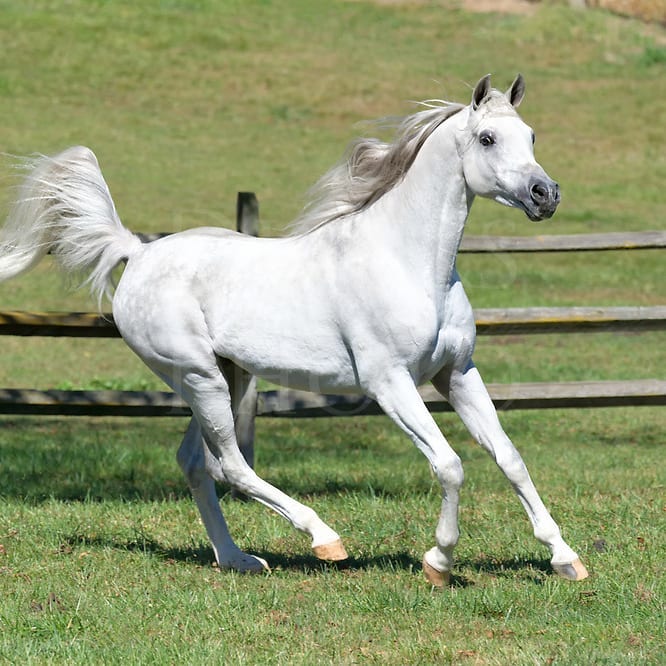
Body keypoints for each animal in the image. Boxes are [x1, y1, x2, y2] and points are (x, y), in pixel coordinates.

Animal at [0, 74, 588, 580]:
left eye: (531, 135)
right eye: (488, 138)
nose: (546, 194)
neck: (409, 264)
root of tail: (138, 252)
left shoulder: (457, 373)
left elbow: (509, 458)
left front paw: (565, 558)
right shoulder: (389, 382)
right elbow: (449, 464)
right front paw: (438, 562)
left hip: (227, 376)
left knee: (195, 462)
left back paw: (236, 559)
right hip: (197, 377)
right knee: (229, 466)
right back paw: (324, 539)